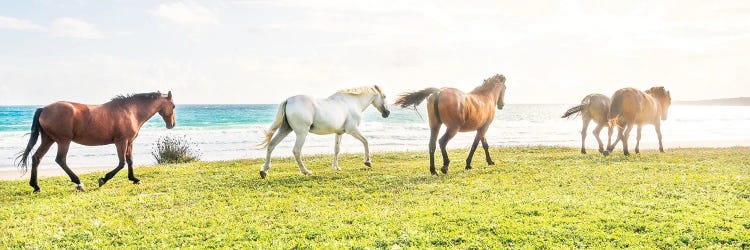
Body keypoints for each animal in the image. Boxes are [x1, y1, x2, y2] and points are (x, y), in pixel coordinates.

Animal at [16, 91, 176, 191]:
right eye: (173, 106)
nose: (172, 125)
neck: (130, 111)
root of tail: (44, 109)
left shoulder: (129, 142)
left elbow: (130, 161)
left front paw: (134, 179)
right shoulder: (121, 142)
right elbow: (121, 163)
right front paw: (103, 179)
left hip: (48, 140)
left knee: (37, 158)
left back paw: (36, 186)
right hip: (63, 141)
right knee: (60, 160)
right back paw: (78, 183)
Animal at [258, 85, 390, 178]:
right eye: (384, 96)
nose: (387, 113)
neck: (352, 103)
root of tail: (288, 100)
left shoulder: (339, 133)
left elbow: (337, 149)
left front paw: (336, 167)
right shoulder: (352, 130)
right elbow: (365, 141)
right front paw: (368, 162)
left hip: (285, 129)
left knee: (271, 145)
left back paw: (264, 171)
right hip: (301, 133)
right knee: (296, 151)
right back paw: (306, 171)